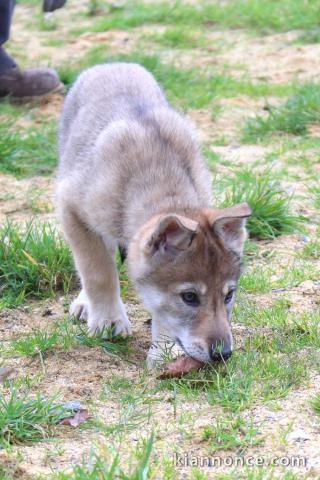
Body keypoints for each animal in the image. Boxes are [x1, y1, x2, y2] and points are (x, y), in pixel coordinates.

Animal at [56, 62, 251, 366]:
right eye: (189, 297)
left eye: (229, 295)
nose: (223, 354)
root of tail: (112, 63)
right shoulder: (72, 209)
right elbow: (98, 271)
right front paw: (108, 321)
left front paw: (163, 351)